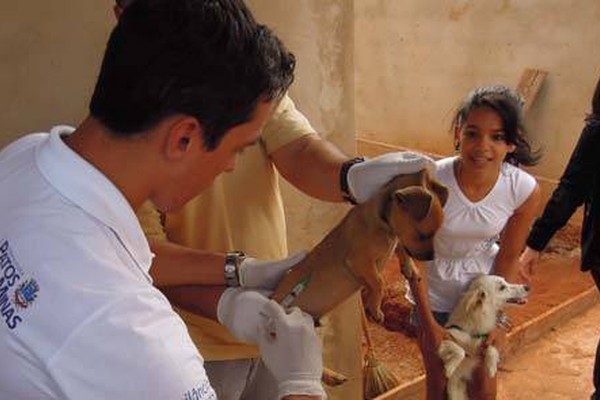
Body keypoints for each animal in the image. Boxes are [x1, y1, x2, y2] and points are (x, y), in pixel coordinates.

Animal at [274, 169, 448, 322]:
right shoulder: (360, 261)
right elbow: (379, 282)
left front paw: (410, 267)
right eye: (423, 235)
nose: (431, 257)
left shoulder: (397, 240)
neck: (384, 223)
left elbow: (401, 250)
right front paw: (375, 308)